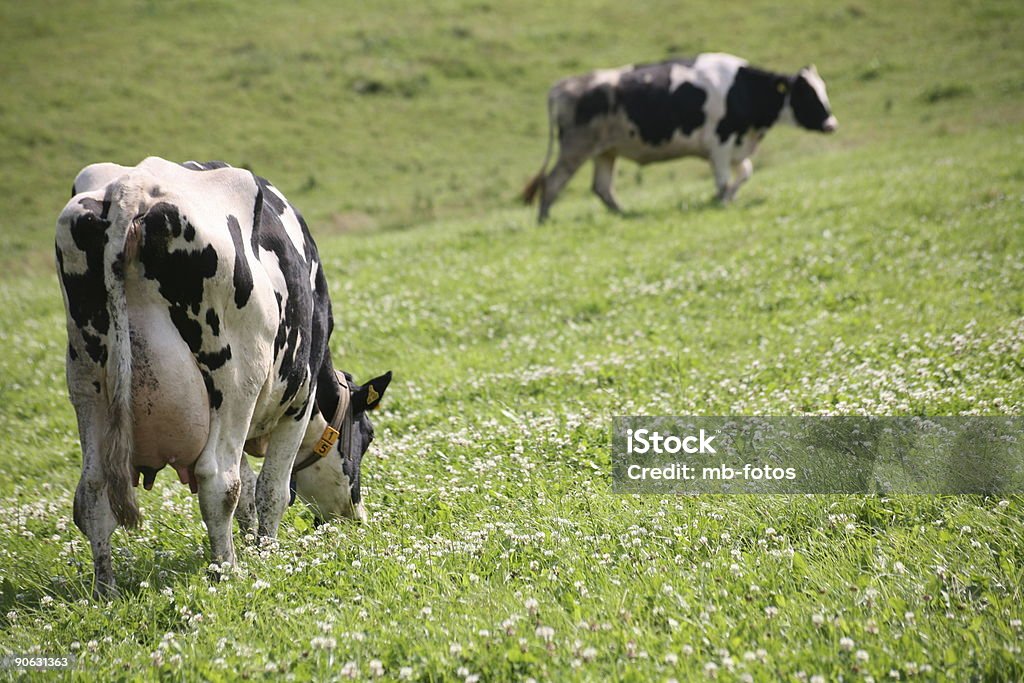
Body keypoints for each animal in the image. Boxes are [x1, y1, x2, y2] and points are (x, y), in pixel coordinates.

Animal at [57, 157, 391, 593]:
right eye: (366, 436)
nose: (355, 516)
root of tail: (134, 188)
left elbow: (249, 490)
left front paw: (250, 543)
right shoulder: (298, 399)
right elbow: (270, 489)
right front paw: (266, 551)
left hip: (88, 381)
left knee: (93, 490)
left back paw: (105, 589)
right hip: (234, 381)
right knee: (219, 480)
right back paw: (227, 570)